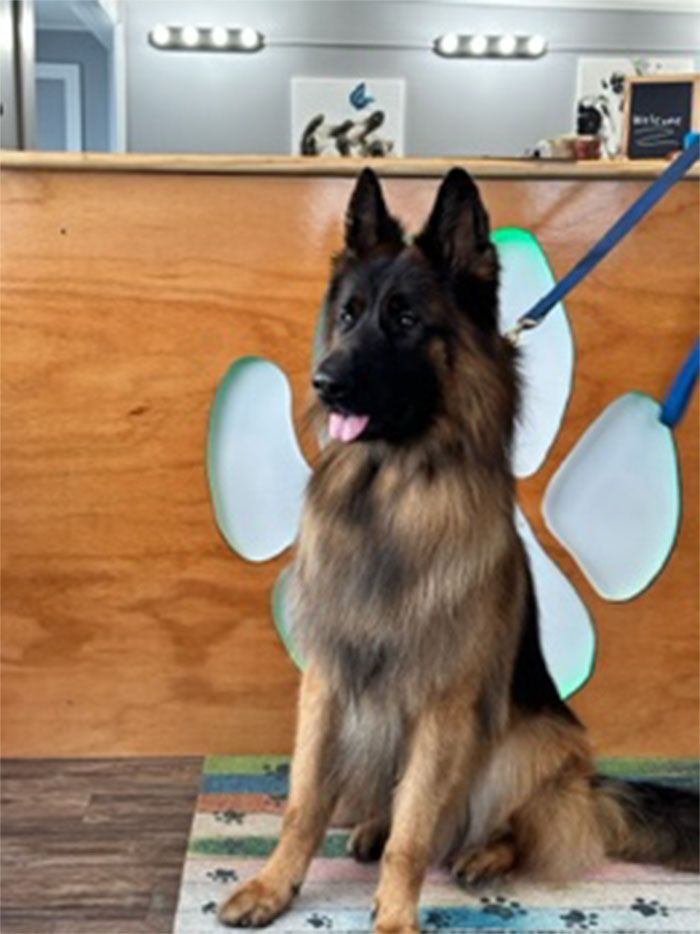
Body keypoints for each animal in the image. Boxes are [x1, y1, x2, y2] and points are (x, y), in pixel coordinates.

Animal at [220, 168, 699, 932]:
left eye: (406, 321)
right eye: (349, 316)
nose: (325, 383)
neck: (391, 499)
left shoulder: (444, 704)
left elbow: (417, 830)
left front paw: (394, 915)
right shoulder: (326, 682)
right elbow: (303, 801)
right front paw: (275, 886)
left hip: (526, 743)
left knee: (504, 824)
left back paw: (483, 853)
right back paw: (371, 827)